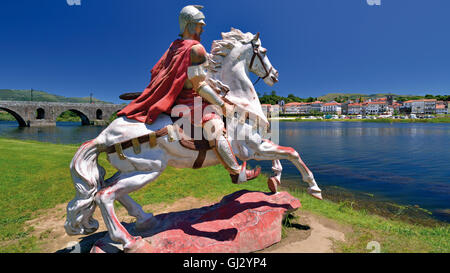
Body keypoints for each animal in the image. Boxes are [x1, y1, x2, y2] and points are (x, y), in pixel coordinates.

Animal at [65, 28, 322, 252]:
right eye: (264, 51)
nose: (275, 75)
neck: (238, 100)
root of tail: (103, 136)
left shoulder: (258, 145)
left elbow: (282, 155)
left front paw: (274, 180)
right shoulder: (253, 148)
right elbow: (291, 152)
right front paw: (313, 188)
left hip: (135, 168)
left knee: (107, 189)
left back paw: (146, 220)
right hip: (150, 169)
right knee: (104, 196)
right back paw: (129, 241)